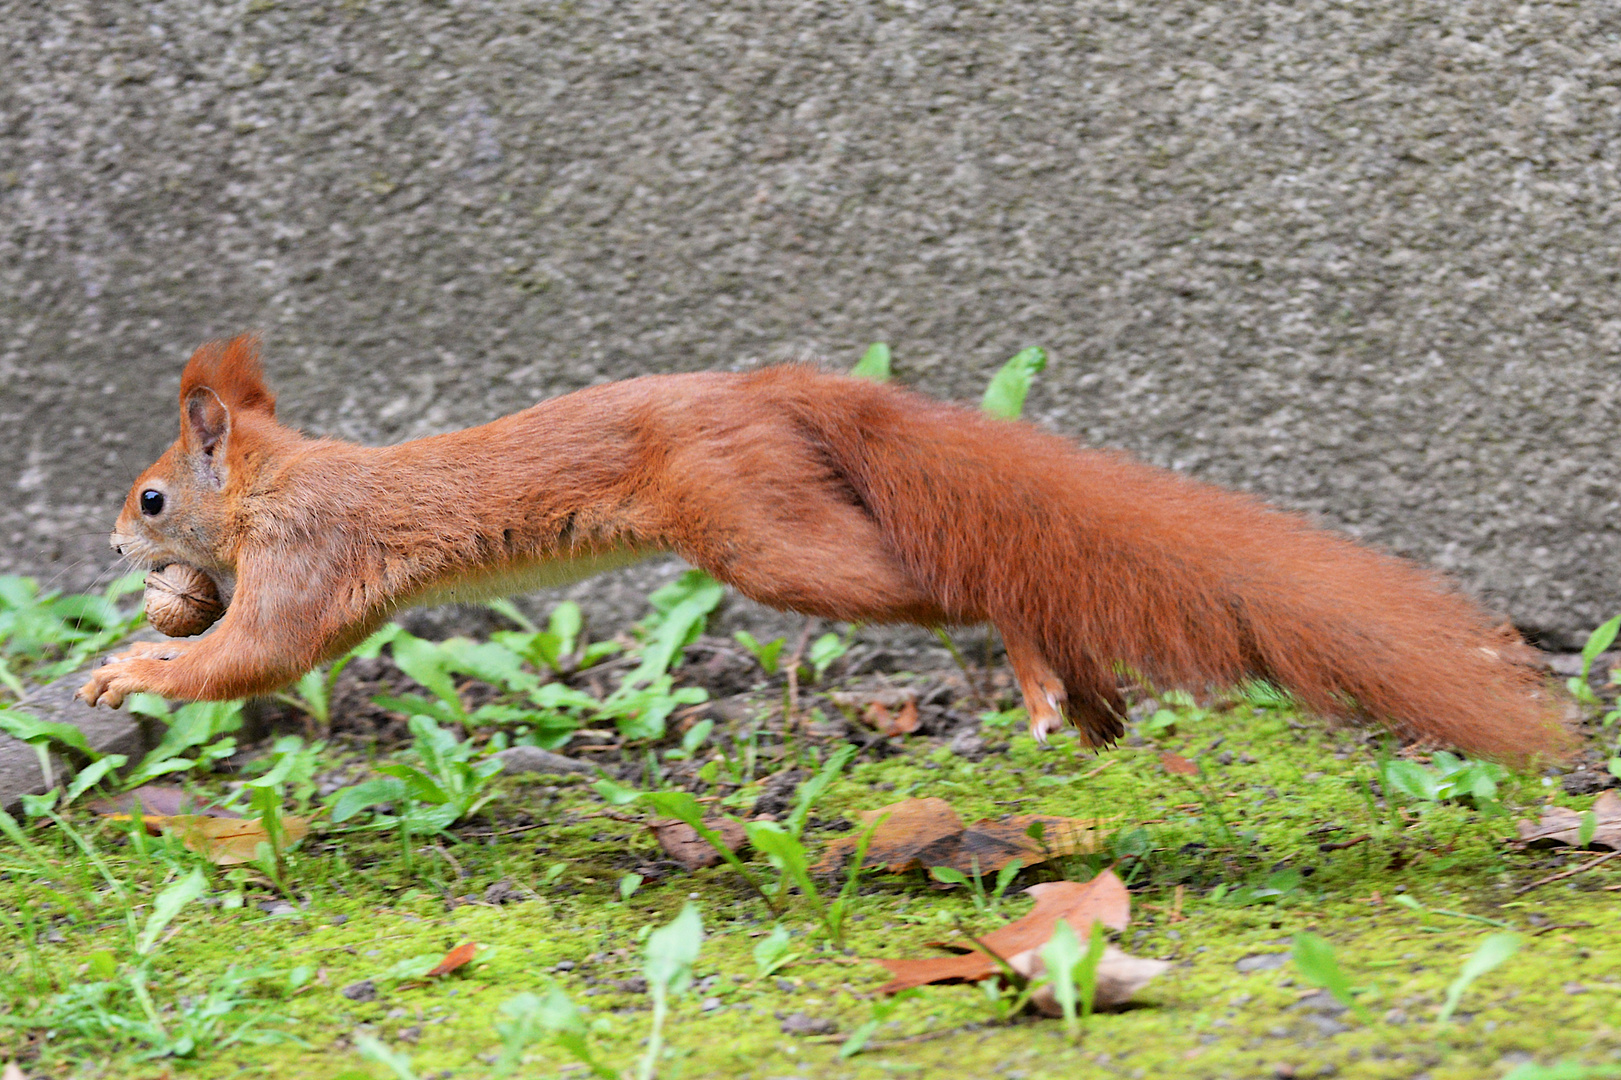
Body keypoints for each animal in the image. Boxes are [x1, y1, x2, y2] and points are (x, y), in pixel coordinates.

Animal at [79, 332, 1569, 762]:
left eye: (150, 497)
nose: (111, 540)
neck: (272, 481)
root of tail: (773, 390)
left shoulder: (314, 557)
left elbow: (261, 654)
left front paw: (128, 673)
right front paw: (142, 644)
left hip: (763, 536)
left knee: (965, 584)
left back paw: (1044, 676)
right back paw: (1084, 699)